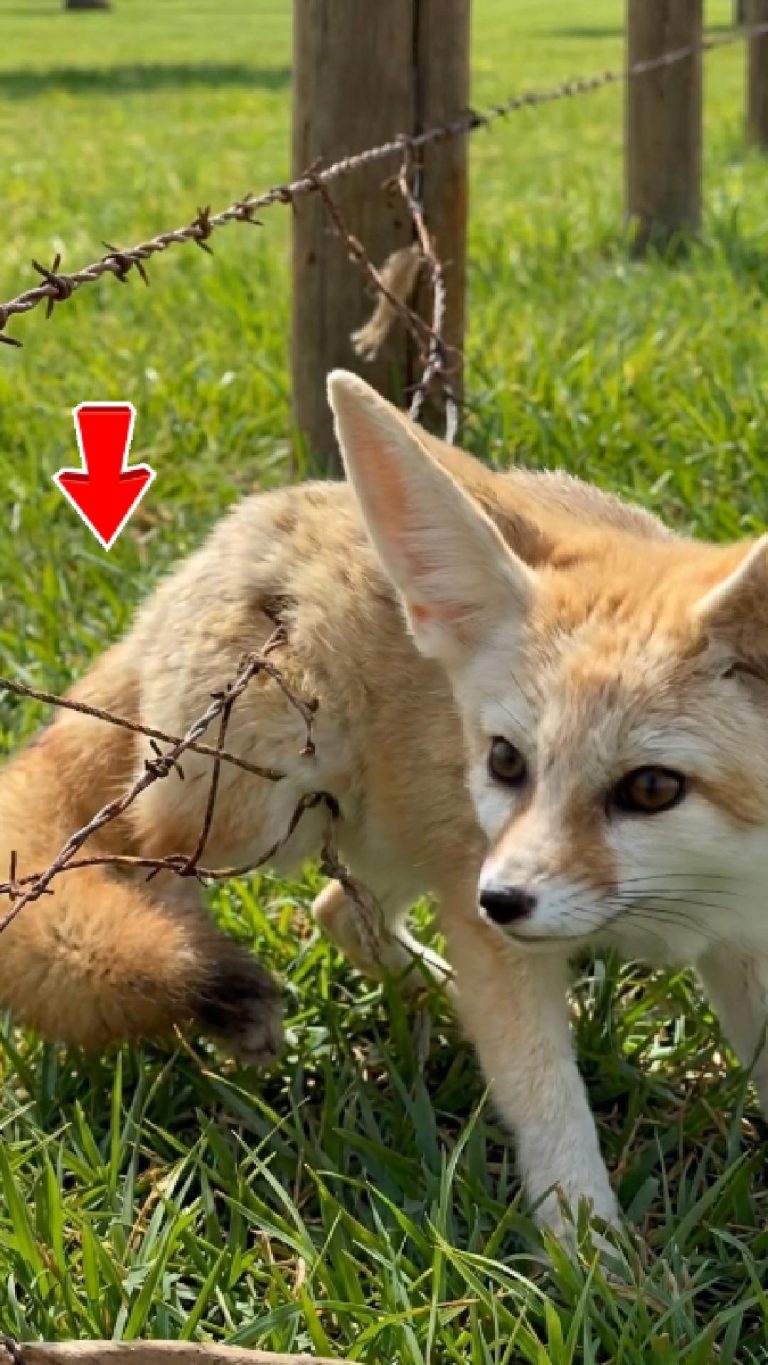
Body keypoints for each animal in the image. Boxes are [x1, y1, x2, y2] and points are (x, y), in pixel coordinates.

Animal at [0, 370, 766, 1242]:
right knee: (153, 863)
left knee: (340, 911)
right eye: (507, 760)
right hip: (270, 803)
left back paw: (433, 993)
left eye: (651, 788)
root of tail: (206, 553)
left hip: (408, 834)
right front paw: (593, 1260)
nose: (504, 901)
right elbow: (551, 1107)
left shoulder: (738, 939)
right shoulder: (500, 932)